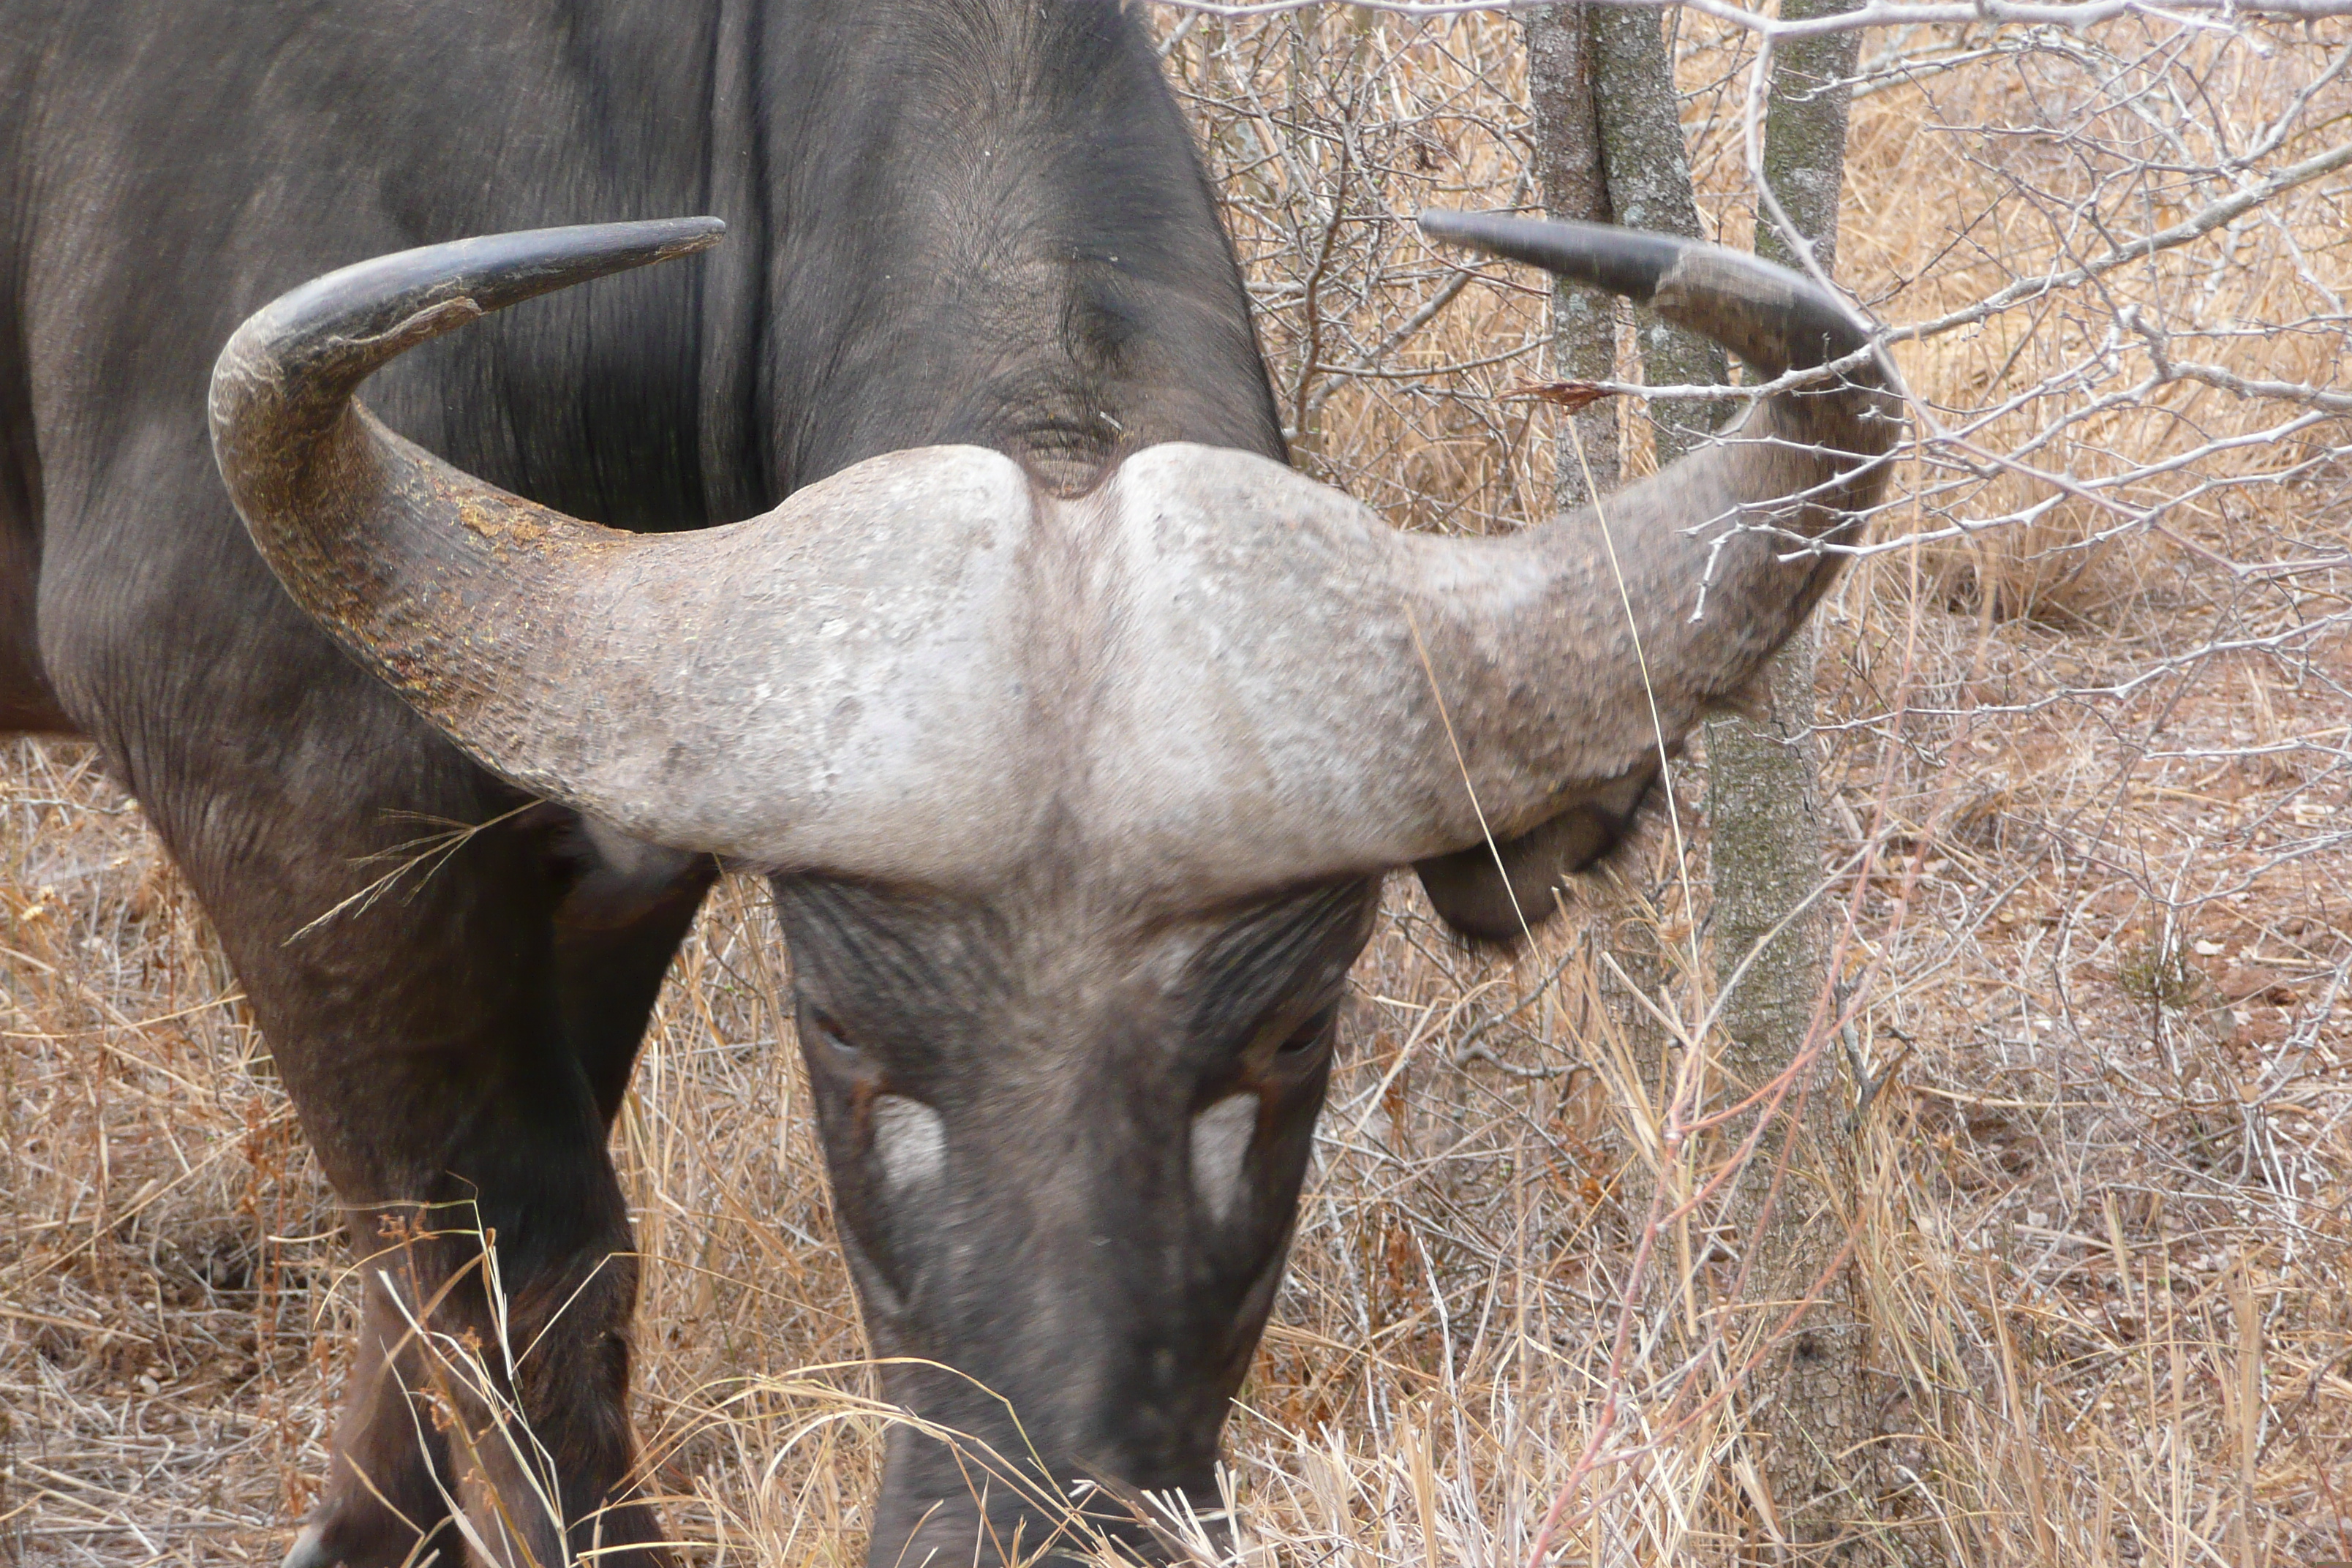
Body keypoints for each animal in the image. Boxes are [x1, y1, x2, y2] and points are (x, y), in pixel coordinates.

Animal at [4, 3, 1891, 1568]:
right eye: (843, 1034)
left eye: (1292, 1037)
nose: (1035, 1522)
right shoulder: (295, 804)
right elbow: (510, 1268)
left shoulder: (602, 854)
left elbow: (476, 1288)